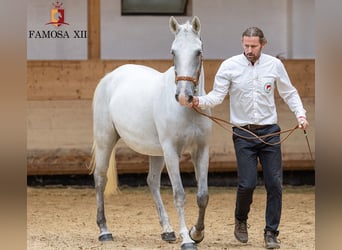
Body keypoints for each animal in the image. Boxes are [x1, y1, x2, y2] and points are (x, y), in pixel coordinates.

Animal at [89, 16, 211, 250]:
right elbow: (179, 194)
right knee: (100, 178)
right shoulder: (171, 151)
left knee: (152, 182)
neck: (187, 111)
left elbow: (202, 196)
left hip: (156, 153)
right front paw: (187, 239)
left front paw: (197, 232)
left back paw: (167, 230)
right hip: (105, 139)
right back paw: (104, 231)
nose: (184, 96)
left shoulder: (201, 150)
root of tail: (109, 77)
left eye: (198, 52)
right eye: (173, 52)